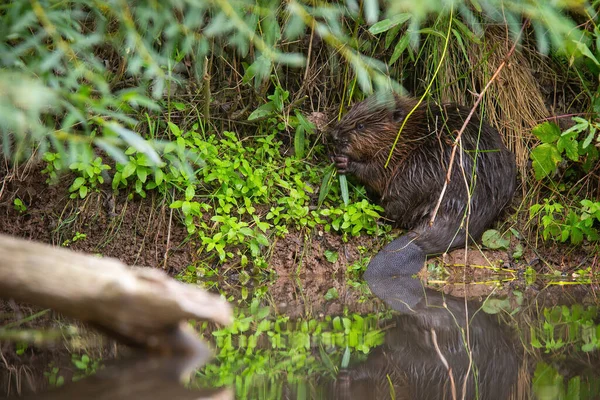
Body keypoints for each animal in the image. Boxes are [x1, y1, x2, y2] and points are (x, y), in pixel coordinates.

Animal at [328, 93, 516, 282]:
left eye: (360, 126)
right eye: (350, 111)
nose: (334, 136)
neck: (409, 132)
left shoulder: (393, 154)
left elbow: (377, 172)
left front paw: (344, 162)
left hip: (417, 170)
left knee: (395, 210)